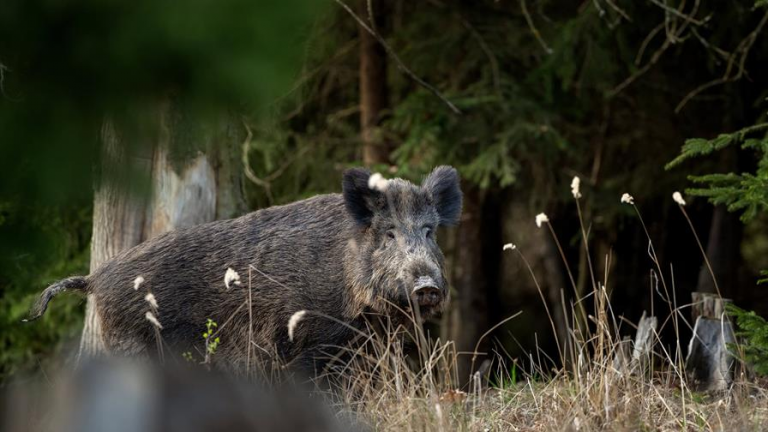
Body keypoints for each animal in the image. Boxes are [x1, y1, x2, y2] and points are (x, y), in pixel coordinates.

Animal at [26, 166, 462, 375]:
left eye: (429, 231)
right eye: (389, 234)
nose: (426, 285)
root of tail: (95, 279)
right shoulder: (308, 344)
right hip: (131, 345)